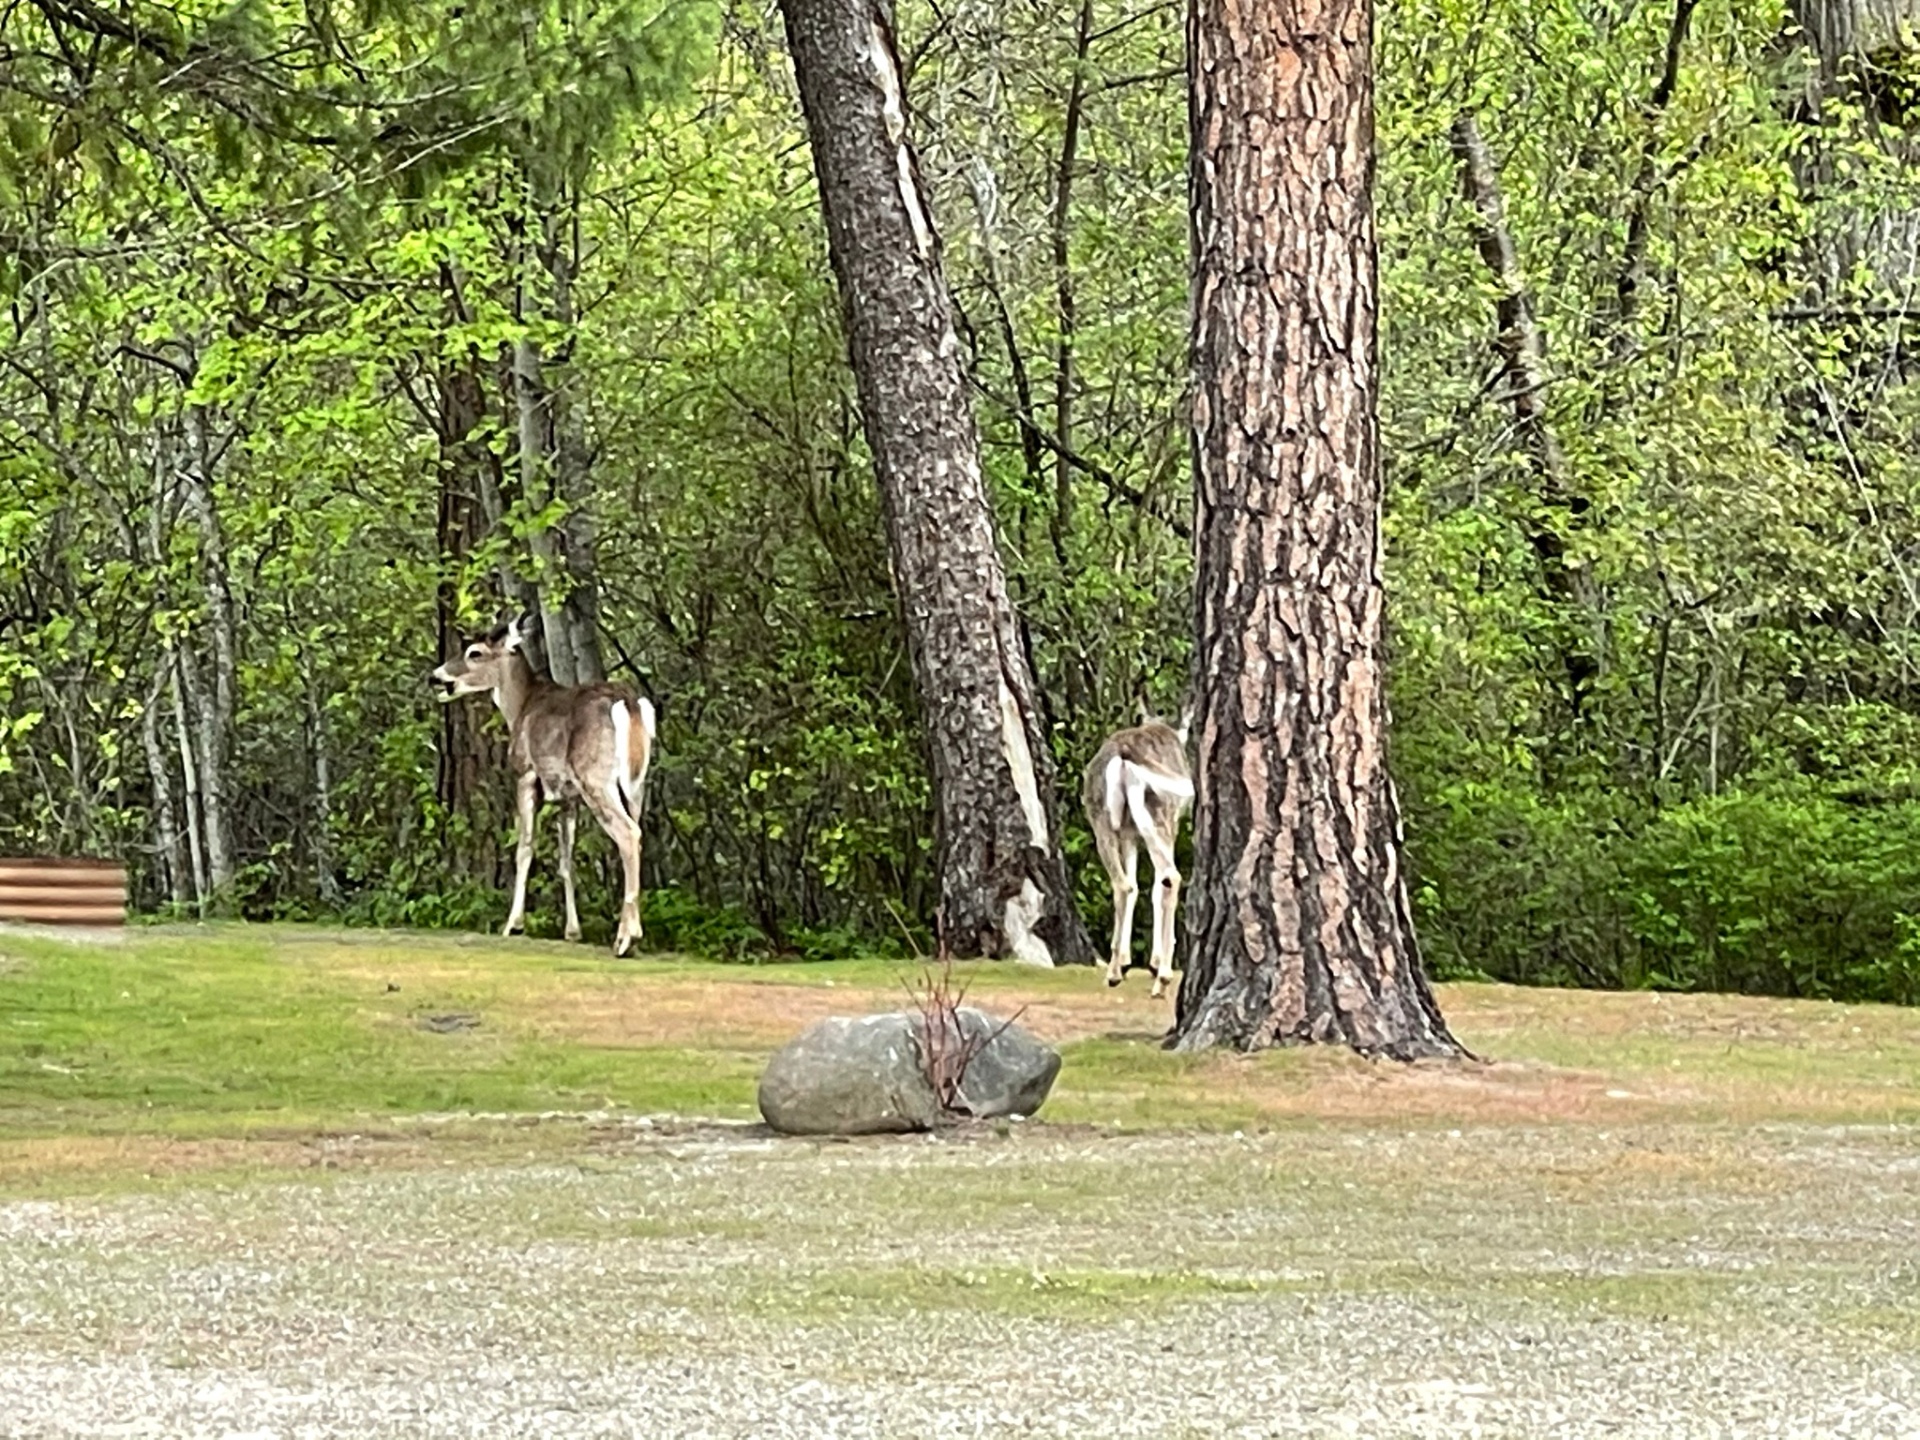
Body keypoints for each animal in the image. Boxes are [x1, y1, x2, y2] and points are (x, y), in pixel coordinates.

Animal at [430, 617, 656, 957]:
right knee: (637, 834)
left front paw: (513, 924)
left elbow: (524, 848)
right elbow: (566, 859)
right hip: (634, 784)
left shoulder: (525, 773)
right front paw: (573, 931)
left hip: (596, 777)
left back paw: (625, 939)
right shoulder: (568, 796)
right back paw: (632, 935)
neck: (519, 706)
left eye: (475, 653)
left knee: (628, 835)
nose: (435, 676)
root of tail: (628, 704)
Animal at [1082, 707, 1193, 999]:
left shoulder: (1129, 834)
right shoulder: (1171, 824)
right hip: (1159, 812)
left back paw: (1115, 971)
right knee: (1170, 876)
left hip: (1103, 821)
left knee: (1125, 884)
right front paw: (1153, 963)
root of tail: (1123, 755)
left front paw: (1127, 960)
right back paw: (1160, 977)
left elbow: (1135, 882)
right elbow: (1155, 888)